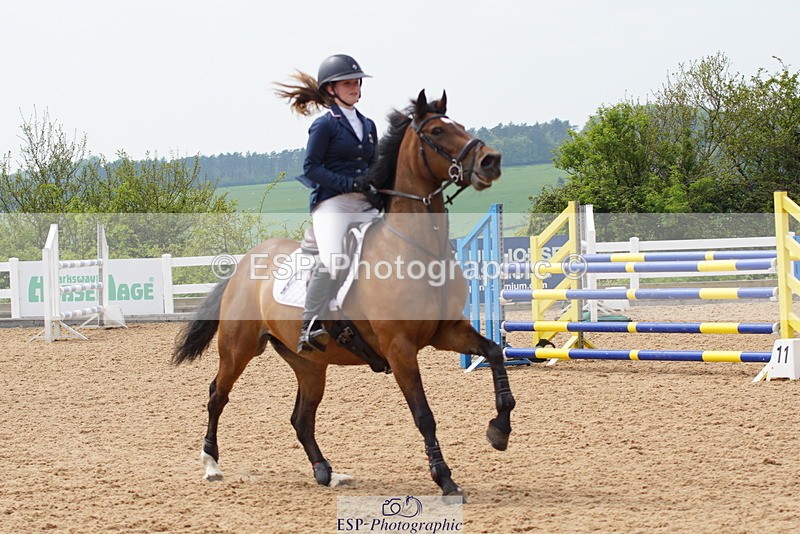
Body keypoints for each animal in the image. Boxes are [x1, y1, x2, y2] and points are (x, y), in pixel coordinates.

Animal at [172, 89, 515, 498]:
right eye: (436, 131)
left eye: (460, 125)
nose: (491, 161)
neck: (416, 248)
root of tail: (245, 263)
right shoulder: (400, 348)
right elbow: (424, 414)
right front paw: (444, 478)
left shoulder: (446, 332)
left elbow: (493, 352)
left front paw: (499, 430)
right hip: (238, 348)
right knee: (217, 395)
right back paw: (211, 463)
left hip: (308, 363)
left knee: (301, 418)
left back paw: (326, 472)